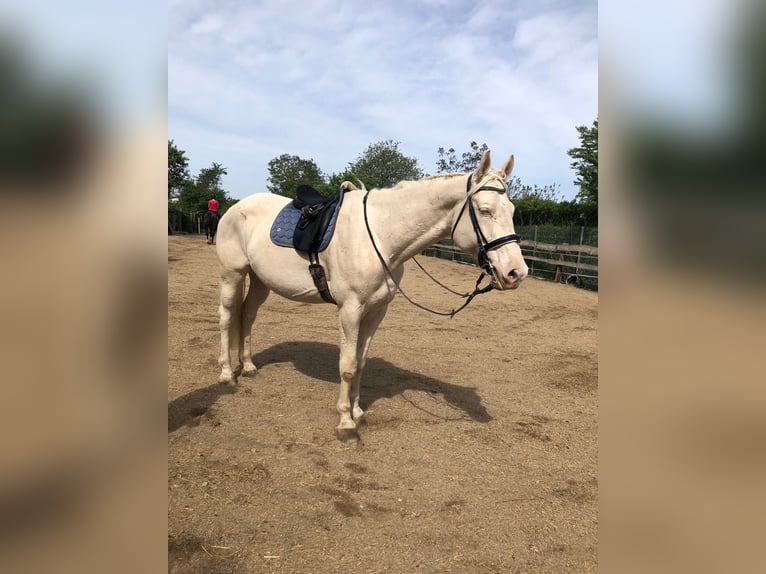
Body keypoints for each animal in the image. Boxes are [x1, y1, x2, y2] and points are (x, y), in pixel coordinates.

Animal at [215, 149, 528, 442]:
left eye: (512, 210)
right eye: (485, 210)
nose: (516, 272)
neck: (380, 235)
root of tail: (237, 207)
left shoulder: (376, 310)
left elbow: (361, 362)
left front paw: (357, 411)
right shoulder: (350, 309)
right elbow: (348, 365)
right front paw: (345, 423)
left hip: (260, 281)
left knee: (247, 315)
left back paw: (249, 366)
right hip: (232, 274)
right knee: (227, 317)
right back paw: (228, 374)